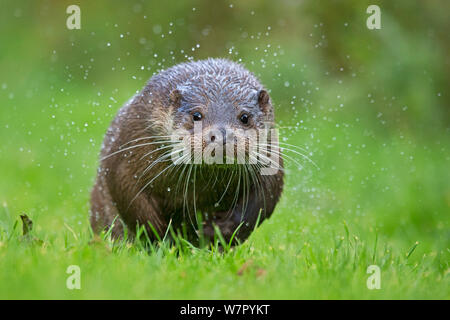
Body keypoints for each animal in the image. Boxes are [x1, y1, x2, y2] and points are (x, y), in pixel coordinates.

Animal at [89, 58, 284, 242]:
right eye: (196, 115)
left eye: (244, 117)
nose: (221, 136)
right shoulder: (128, 153)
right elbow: (130, 198)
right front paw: (164, 233)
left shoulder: (271, 161)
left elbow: (260, 204)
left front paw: (215, 231)